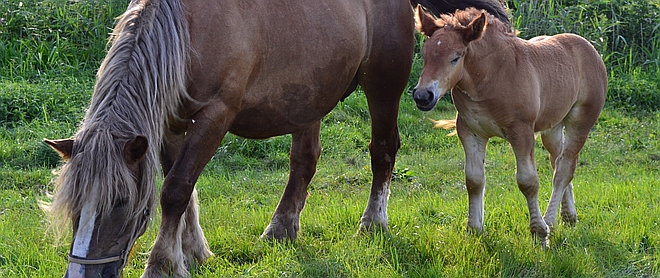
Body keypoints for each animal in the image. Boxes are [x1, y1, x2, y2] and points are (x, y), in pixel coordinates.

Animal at [45, 0, 506, 276]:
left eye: (120, 202)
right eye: (75, 205)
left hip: (383, 85)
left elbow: (175, 190)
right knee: (305, 160)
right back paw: (282, 227)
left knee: (383, 151)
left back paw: (372, 223)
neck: (188, 30)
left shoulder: (215, 115)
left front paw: (162, 264)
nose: (81, 272)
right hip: (308, 96)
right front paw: (191, 253)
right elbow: (185, 191)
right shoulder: (172, 122)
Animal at [412, 8, 608, 243]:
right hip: (552, 127)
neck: (491, 77)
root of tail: (590, 48)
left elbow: (528, 181)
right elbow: (474, 180)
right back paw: (568, 216)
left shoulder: (521, 133)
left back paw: (550, 221)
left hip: (580, 121)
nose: (423, 96)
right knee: (559, 161)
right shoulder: (470, 132)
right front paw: (474, 228)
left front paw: (539, 232)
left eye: (455, 57)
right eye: (424, 54)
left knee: (564, 168)